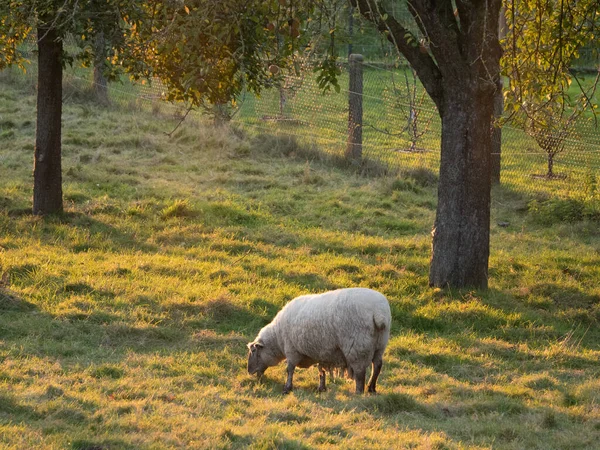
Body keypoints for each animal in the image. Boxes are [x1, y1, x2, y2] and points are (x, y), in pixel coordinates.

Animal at [246, 288, 392, 394]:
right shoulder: (321, 351)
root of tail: (379, 313)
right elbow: (321, 371)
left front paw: (287, 388)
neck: (277, 337)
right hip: (380, 344)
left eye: (254, 351)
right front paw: (321, 388)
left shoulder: (292, 349)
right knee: (377, 365)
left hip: (357, 346)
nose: (249, 371)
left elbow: (289, 369)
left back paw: (359, 392)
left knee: (360, 372)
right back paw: (371, 388)